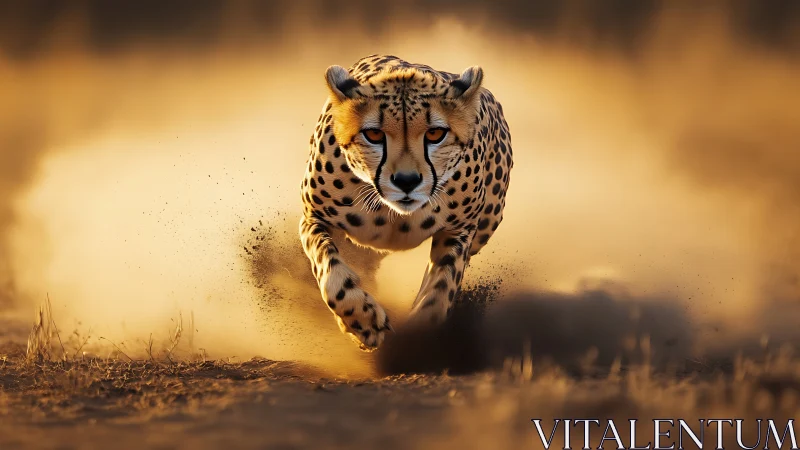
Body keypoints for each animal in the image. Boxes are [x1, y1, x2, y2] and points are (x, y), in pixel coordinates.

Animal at [299, 54, 513, 351]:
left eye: (435, 134)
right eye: (373, 135)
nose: (406, 180)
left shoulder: (459, 231)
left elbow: (440, 289)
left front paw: (418, 336)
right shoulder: (313, 217)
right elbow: (329, 271)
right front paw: (362, 322)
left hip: (485, 225)